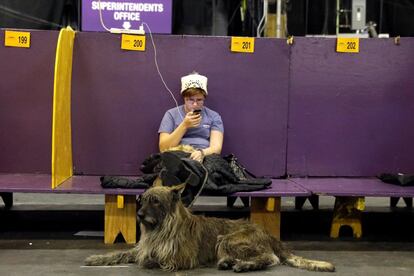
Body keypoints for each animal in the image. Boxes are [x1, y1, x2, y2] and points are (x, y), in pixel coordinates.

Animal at [85, 184, 334, 272]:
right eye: (142, 200)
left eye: (155, 201)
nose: (139, 215)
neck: (161, 227)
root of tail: (268, 234)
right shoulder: (142, 247)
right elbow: (123, 253)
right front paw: (98, 258)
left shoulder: (181, 258)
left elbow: (151, 260)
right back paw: (229, 262)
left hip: (227, 239)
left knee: (269, 258)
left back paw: (243, 265)